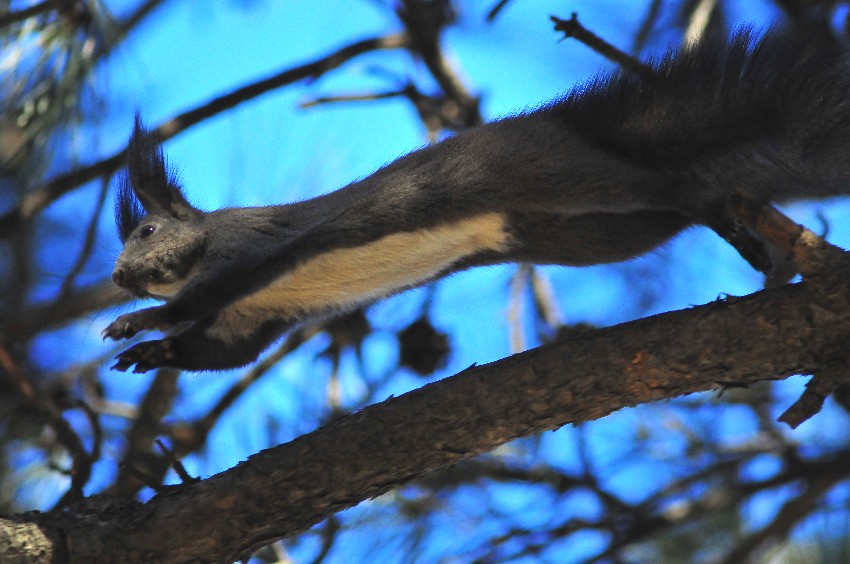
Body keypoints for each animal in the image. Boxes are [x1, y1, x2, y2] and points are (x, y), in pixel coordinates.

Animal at [102, 30, 848, 374]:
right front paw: (155, 354)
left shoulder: (246, 252)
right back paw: (740, 235)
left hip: (570, 181)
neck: (199, 249)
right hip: (591, 234)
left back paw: (726, 214)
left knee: (663, 186)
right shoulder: (254, 317)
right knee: (666, 213)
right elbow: (222, 351)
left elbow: (206, 298)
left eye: (146, 232)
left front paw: (140, 324)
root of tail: (567, 130)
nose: (117, 277)